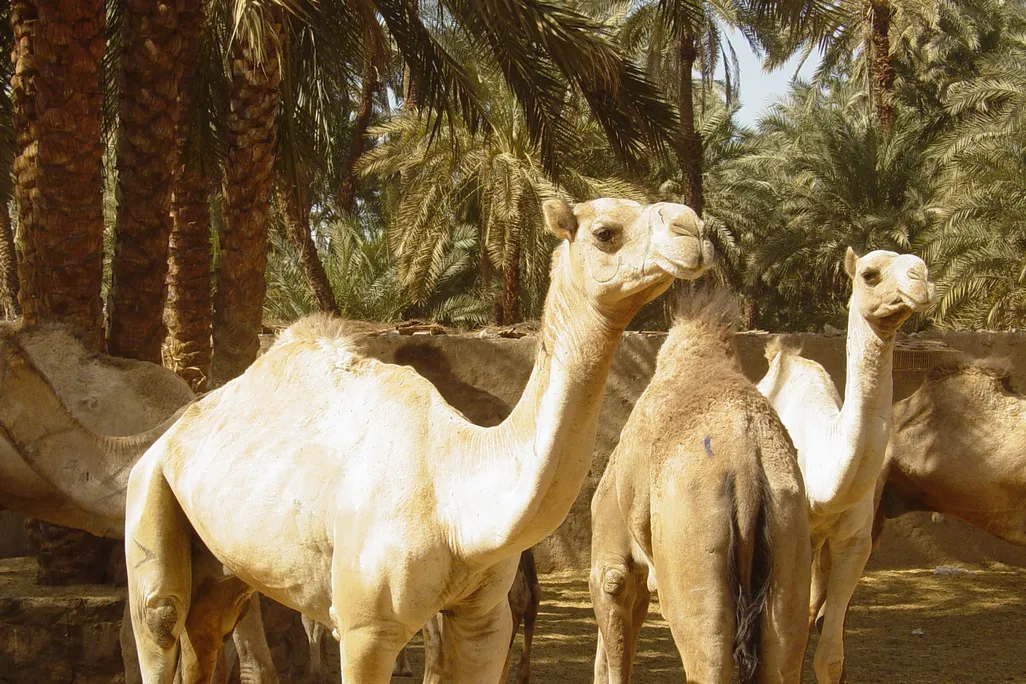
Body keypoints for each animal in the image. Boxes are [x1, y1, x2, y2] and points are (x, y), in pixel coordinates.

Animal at [99, 197, 711, 684]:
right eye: (605, 232)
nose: (696, 229)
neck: (456, 493)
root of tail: (168, 436)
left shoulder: (484, 619)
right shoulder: (366, 627)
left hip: (225, 565)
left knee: (207, 630)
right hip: (149, 494)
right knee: (159, 618)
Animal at [590, 287, 811, 684]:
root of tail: (747, 460)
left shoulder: (612, 558)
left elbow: (613, 589)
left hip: (693, 553)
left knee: (707, 658)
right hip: (791, 535)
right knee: (782, 655)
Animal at [756, 248, 934, 684]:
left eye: (925, 265)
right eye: (870, 274)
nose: (920, 279)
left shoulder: (856, 539)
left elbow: (830, 655)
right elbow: (786, 646)